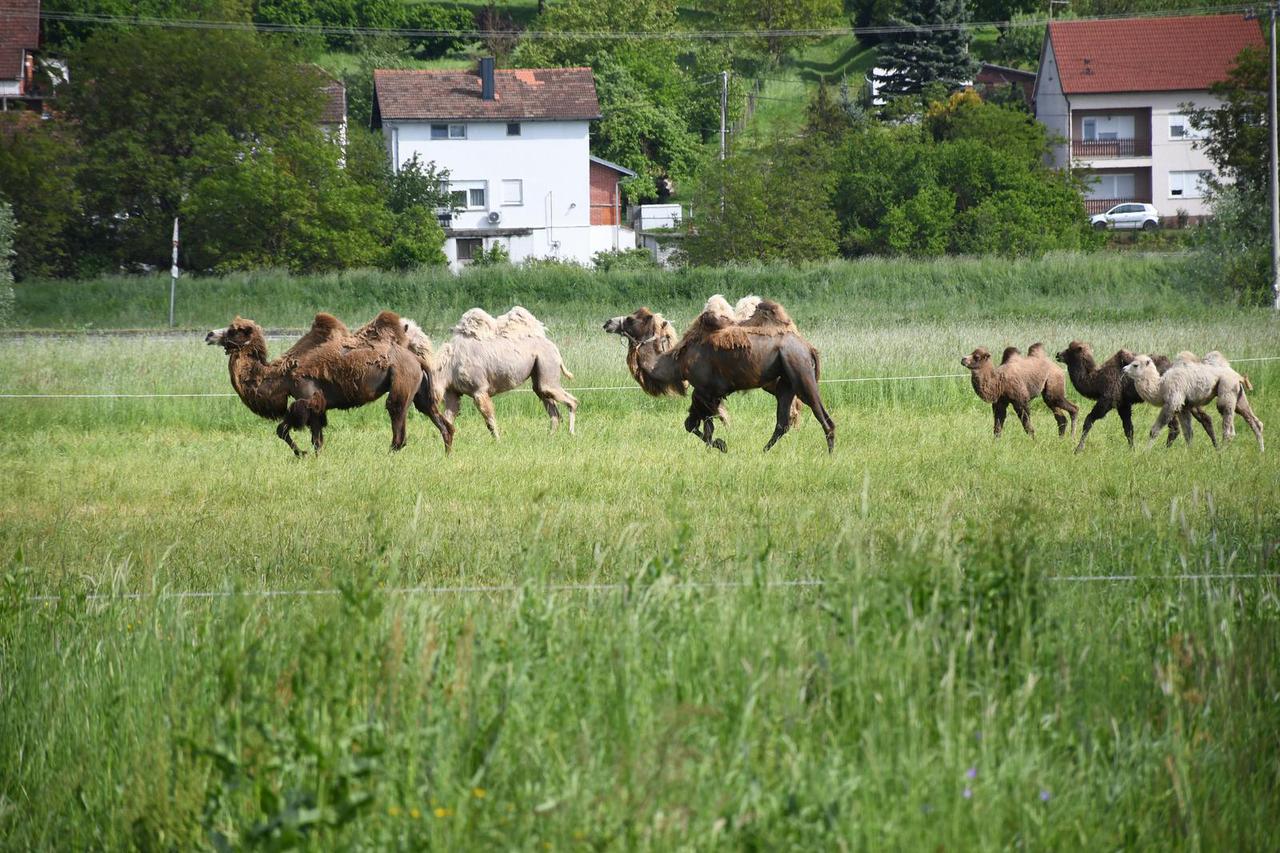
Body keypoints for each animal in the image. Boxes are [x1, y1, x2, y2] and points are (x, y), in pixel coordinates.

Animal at [206, 311, 455, 455]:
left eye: (234, 330)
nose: (209, 334)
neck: (282, 376)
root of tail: (417, 359)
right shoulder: (318, 405)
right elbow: (317, 440)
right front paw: (313, 457)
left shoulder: (306, 397)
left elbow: (282, 429)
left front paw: (301, 453)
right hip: (419, 390)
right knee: (438, 419)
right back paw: (446, 453)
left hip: (402, 381)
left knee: (397, 418)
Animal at [401, 306, 578, 438]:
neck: (445, 366)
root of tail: (554, 347)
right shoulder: (452, 393)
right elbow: (449, 418)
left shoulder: (479, 390)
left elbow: (489, 419)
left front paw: (498, 441)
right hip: (539, 376)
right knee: (551, 406)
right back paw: (550, 436)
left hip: (547, 366)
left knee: (572, 401)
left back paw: (571, 433)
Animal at [604, 302, 834, 455]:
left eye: (631, 319)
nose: (608, 322)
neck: (678, 362)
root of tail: (808, 347)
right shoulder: (702, 394)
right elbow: (692, 426)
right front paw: (719, 447)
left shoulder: (706, 391)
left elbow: (705, 429)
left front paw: (721, 445)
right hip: (785, 380)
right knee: (782, 422)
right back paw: (763, 451)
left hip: (800, 371)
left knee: (821, 415)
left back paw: (830, 455)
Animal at [1054, 340, 1213, 450]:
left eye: (1070, 349)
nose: (1058, 354)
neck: (1096, 379)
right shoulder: (1123, 404)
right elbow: (1128, 428)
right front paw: (1132, 450)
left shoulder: (1108, 399)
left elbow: (1089, 420)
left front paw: (1078, 449)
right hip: (1188, 399)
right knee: (1204, 418)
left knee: (1174, 427)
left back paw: (1165, 450)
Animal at [1121, 348, 1259, 448]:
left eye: (1135, 365)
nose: (1123, 369)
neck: (1160, 386)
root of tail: (1238, 375)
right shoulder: (1183, 407)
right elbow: (1188, 434)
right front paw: (1189, 455)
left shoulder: (1172, 402)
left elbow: (1154, 430)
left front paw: (1145, 452)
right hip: (1239, 395)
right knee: (1255, 422)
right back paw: (1260, 452)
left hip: (1227, 388)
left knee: (1228, 428)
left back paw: (1223, 453)